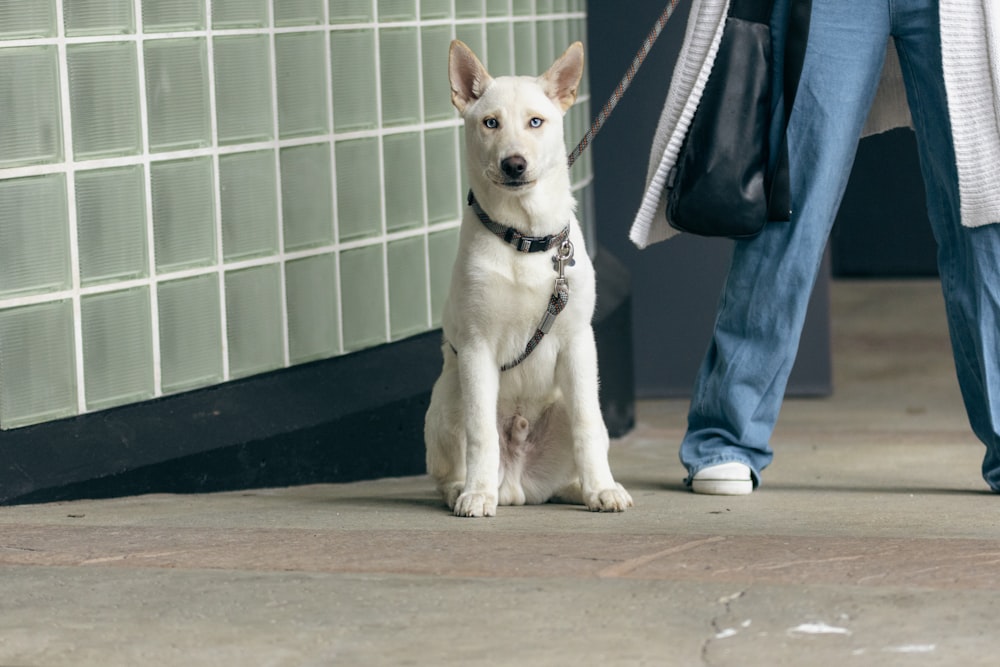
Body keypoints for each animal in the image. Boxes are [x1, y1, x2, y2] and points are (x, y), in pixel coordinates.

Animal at [424, 40, 632, 516]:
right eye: (490, 122)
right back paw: (467, 489)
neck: (525, 238)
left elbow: (587, 424)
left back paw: (581, 488)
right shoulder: (477, 348)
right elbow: (481, 434)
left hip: (566, 400)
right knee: (453, 463)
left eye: (536, 122)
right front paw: (476, 496)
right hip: (449, 394)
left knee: (584, 432)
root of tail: (518, 484)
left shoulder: (578, 342)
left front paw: (602, 488)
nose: (514, 164)